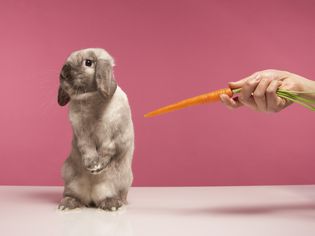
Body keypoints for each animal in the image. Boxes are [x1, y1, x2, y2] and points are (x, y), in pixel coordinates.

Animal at [56, 48, 135, 210]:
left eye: (88, 62)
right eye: (66, 62)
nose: (63, 72)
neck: (91, 100)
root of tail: (91, 197)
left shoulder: (116, 136)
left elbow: (108, 150)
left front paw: (96, 168)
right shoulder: (81, 133)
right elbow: (87, 148)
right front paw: (91, 164)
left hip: (119, 182)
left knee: (110, 196)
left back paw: (112, 203)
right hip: (70, 178)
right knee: (74, 195)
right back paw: (68, 203)